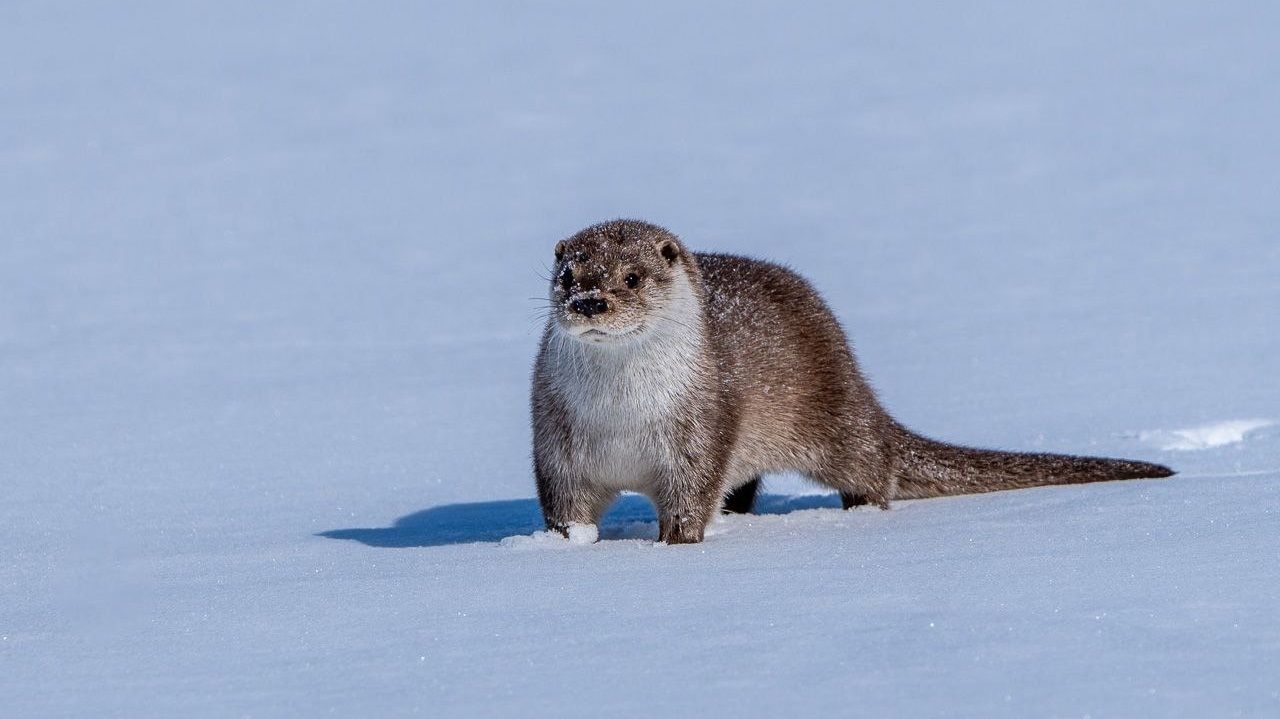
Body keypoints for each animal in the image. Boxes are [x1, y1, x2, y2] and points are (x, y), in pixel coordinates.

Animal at [527, 218, 1172, 542]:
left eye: (632, 277)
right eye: (569, 275)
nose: (589, 301)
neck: (623, 417)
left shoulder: (702, 428)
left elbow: (690, 499)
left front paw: (675, 545)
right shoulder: (557, 440)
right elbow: (565, 506)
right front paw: (566, 547)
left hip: (834, 415)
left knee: (873, 463)